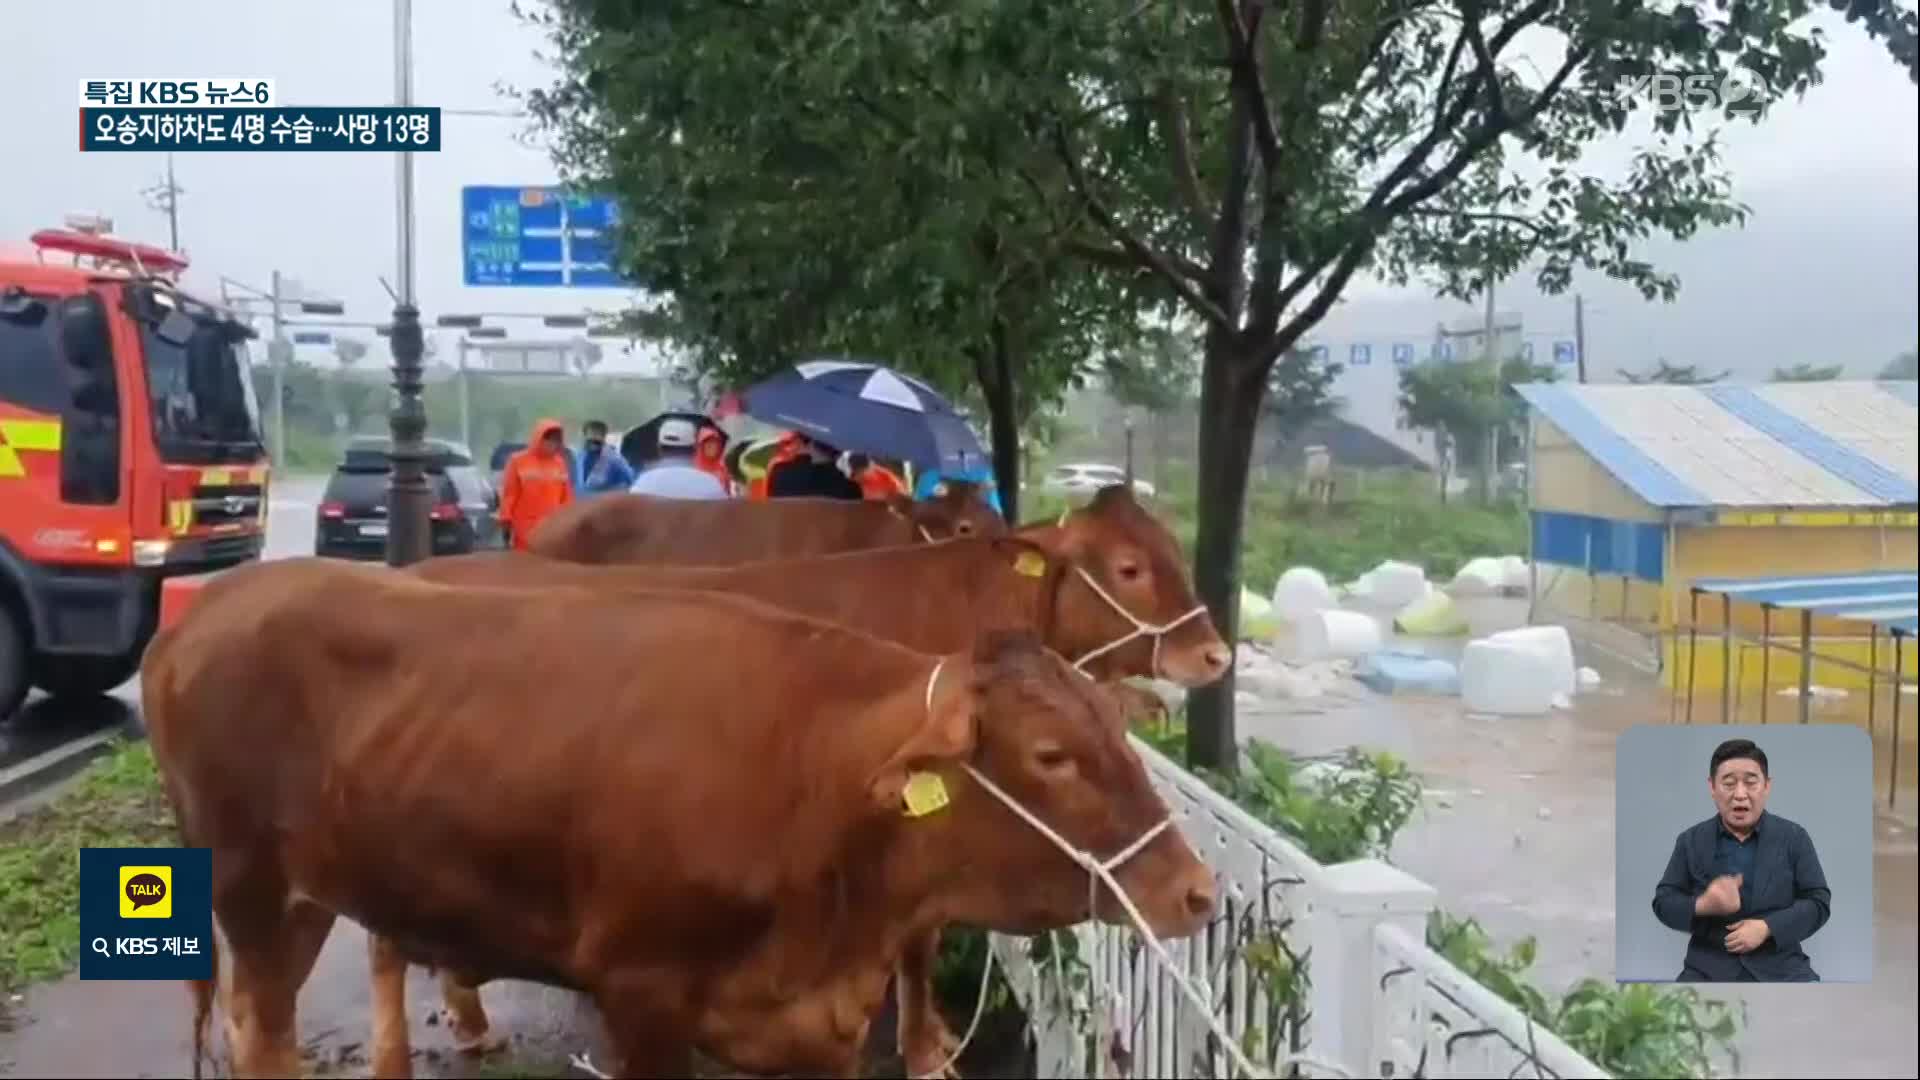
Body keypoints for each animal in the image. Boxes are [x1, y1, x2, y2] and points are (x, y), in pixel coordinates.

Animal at [145, 553, 1213, 1076]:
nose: (1198, 892)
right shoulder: (643, 995)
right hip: (247, 885)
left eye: (1121, 735)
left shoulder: (820, 1027)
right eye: (1051, 756)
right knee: (261, 1033)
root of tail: (211, 607)